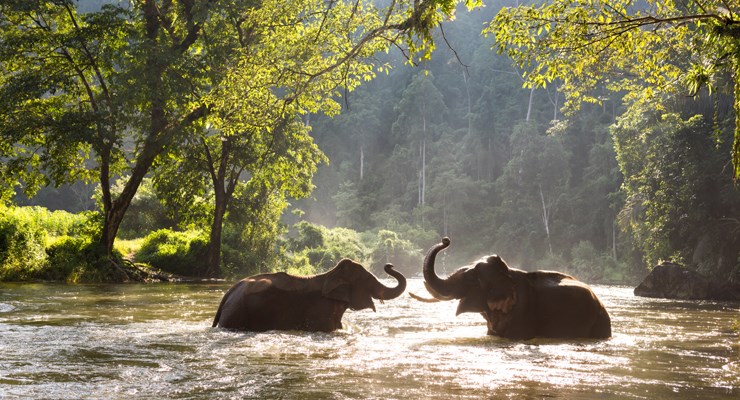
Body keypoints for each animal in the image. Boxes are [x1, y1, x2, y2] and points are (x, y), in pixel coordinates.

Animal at [211, 260, 408, 332]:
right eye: (367, 279)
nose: (389, 264)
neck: (330, 274)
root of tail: (229, 292)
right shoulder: (320, 310)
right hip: (237, 314)